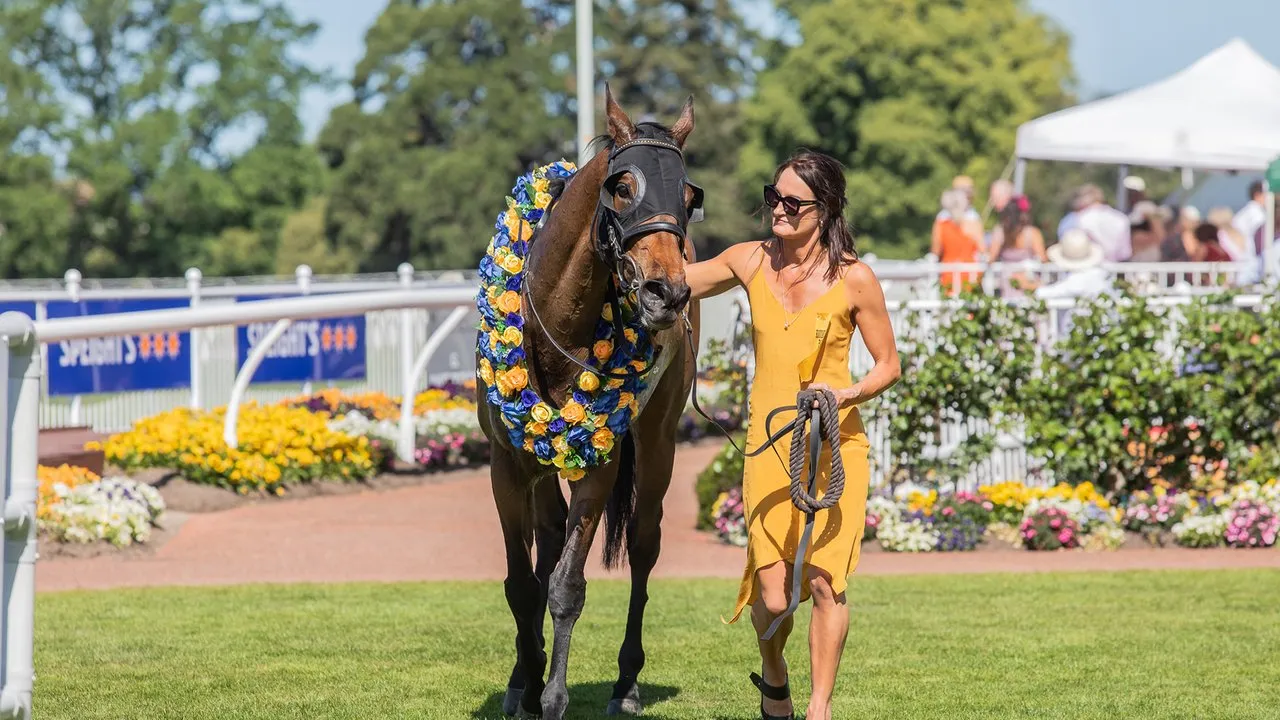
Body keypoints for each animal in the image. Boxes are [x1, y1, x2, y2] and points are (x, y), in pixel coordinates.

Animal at [475, 87, 702, 720]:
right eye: (623, 187)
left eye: (689, 197)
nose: (667, 292)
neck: (556, 323)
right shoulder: (506, 463)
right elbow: (521, 582)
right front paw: (524, 683)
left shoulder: (598, 462)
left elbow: (566, 586)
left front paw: (552, 695)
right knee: (547, 542)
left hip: (657, 445)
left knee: (644, 548)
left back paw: (625, 685)